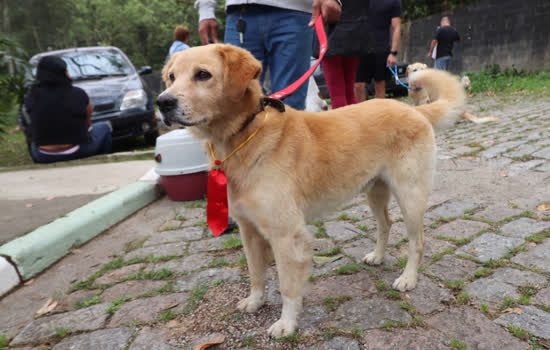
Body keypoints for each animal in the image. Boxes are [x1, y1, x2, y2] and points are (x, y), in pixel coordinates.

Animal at [157, 45, 468, 338]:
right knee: (386, 224)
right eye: (171, 77)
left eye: (203, 74)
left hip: (410, 196)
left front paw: (287, 323)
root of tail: (413, 110)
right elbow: (256, 273)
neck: (244, 135)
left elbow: (287, 286)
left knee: (418, 241)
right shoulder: (249, 230)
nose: (163, 102)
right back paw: (378, 257)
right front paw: (255, 301)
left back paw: (408, 278)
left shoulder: (286, 236)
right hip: (375, 192)